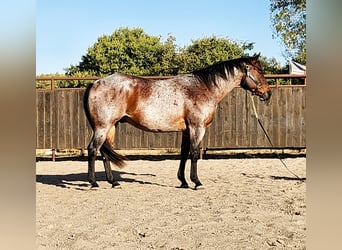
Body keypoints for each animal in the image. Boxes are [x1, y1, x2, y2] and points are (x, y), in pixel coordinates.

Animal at [83, 53, 270, 188]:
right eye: (259, 71)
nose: (268, 93)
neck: (203, 88)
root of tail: (96, 83)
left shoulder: (187, 131)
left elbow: (184, 154)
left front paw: (184, 182)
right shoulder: (197, 128)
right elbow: (194, 154)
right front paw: (196, 182)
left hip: (110, 127)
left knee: (104, 153)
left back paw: (113, 182)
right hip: (102, 127)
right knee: (93, 150)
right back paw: (93, 183)